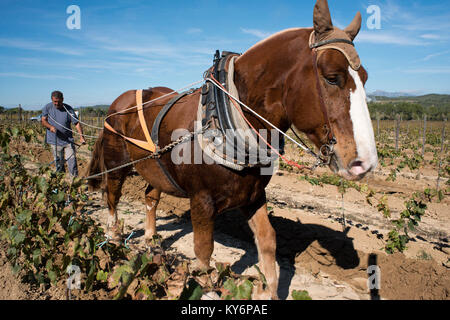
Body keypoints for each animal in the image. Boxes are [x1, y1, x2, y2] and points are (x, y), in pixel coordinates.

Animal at [86, 0, 378, 300]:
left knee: (149, 197)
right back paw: (114, 238)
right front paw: (205, 287)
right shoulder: (201, 200)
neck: (226, 114)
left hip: (154, 167)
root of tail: (117, 105)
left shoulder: (253, 194)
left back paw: (150, 239)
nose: (365, 163)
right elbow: (204, 250)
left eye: (365, 78)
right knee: (112, 196)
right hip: (116, 164)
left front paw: (268, 290)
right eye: (332, 78)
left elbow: (268, 240)